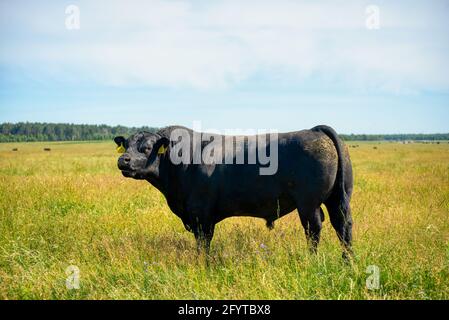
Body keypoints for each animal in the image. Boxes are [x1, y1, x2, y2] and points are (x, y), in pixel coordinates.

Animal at [114, 124, 352, 258]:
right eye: (126, 146)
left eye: (146, 148)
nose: (123, 160)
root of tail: (314, 130)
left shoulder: (201, 214)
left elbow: (203, 243)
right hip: (337, 199)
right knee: (343, 225)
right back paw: (347, 260)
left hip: (308, 204)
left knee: (314, 229)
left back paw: (313, 259)